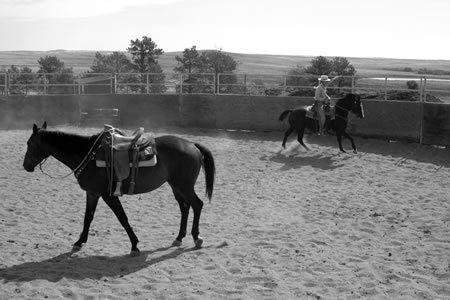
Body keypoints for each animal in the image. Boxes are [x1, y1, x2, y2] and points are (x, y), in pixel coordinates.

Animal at [22, 123, 216, 254]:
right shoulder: (92, 193)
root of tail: (192, 145)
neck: (88, 154)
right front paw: (79, 241)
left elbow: (122, 218)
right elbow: (88, 218)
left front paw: (134, 244)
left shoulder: (108, 195)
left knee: (197, 205)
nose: (25, 166)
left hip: (184, 186)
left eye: (29, 143)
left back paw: (197, 238)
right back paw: (179, 238)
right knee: (184, 207)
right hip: (176, 186)